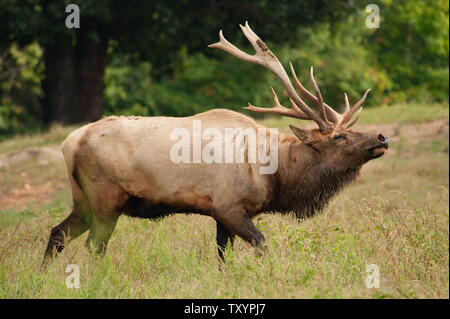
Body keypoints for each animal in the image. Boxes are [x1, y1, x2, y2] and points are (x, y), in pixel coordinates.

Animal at [41, 21, 390, 268]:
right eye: (337, 136)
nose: (381, 137)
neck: (274, 174)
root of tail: (70, 143)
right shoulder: (228, 205)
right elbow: (263, 246)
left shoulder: (221, 214)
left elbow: (223, 258)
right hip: (105, 199)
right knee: (93, 247)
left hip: (83, 200)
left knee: (57, 233)